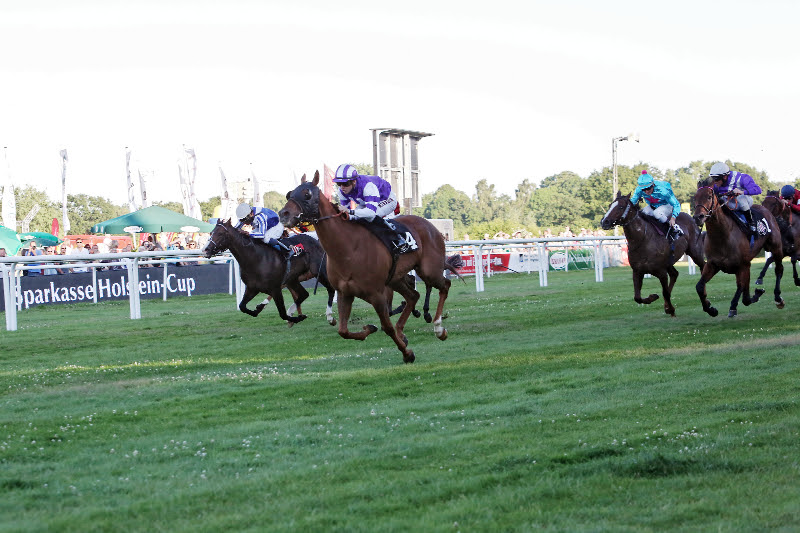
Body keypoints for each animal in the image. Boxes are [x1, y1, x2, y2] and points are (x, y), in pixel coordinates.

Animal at [203, 218, 338, 326]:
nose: (206, 250)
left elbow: (282, 313)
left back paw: (330, 317)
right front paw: (257, 309)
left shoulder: (276, 289)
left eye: (220, 234)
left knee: (331, 289)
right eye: (211, 233)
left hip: (319, 272)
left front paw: (296, 318)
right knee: (304, 294)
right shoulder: (252, 288)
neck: (255, 258)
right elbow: (242, 306)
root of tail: (316, 240)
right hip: (292, 280)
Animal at [278, 170, 454, 362]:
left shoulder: (376, 293)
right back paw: (404, 331)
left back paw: (438, 328)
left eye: (307, 194)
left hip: (428, 270)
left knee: (445, 285)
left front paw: (407, 354)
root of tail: (430, 225)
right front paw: (369, 328)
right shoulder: (345, 293)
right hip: (395, 278)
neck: (348, 249)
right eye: (289, 194)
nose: (283, 214)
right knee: (413, 296)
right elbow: (343, 331)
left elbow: (387, 327)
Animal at [692, 181, 784, 318]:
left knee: (778, 270)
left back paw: (778, 298)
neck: (723, 236)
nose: (698, 217)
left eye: (708, 197)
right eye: (695, 197)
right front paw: (710, 309)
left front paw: (733, 307)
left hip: (776, 248)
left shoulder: (743, 265)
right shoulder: (713, 264)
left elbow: (741, 288)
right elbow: (699, 286)